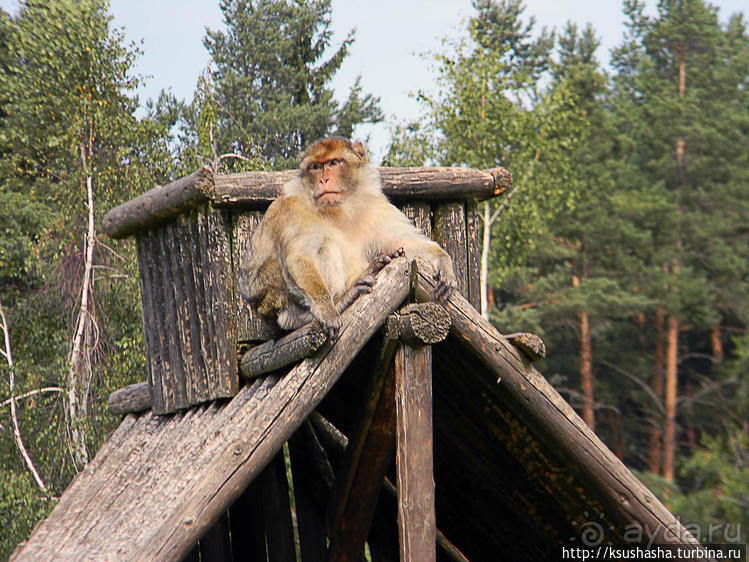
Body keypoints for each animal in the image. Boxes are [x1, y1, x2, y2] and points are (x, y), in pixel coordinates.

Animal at [238, 137, 456, 336]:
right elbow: (299, 256)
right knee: (322, 247)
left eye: (333, 163)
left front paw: (443, 261)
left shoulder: (376, 207)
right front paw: (326, 310)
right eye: (316, 167)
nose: (323, 180)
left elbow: (401, 243)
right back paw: (331, 304)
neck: (339, 209)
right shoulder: (293, 208)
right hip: (271, 299)